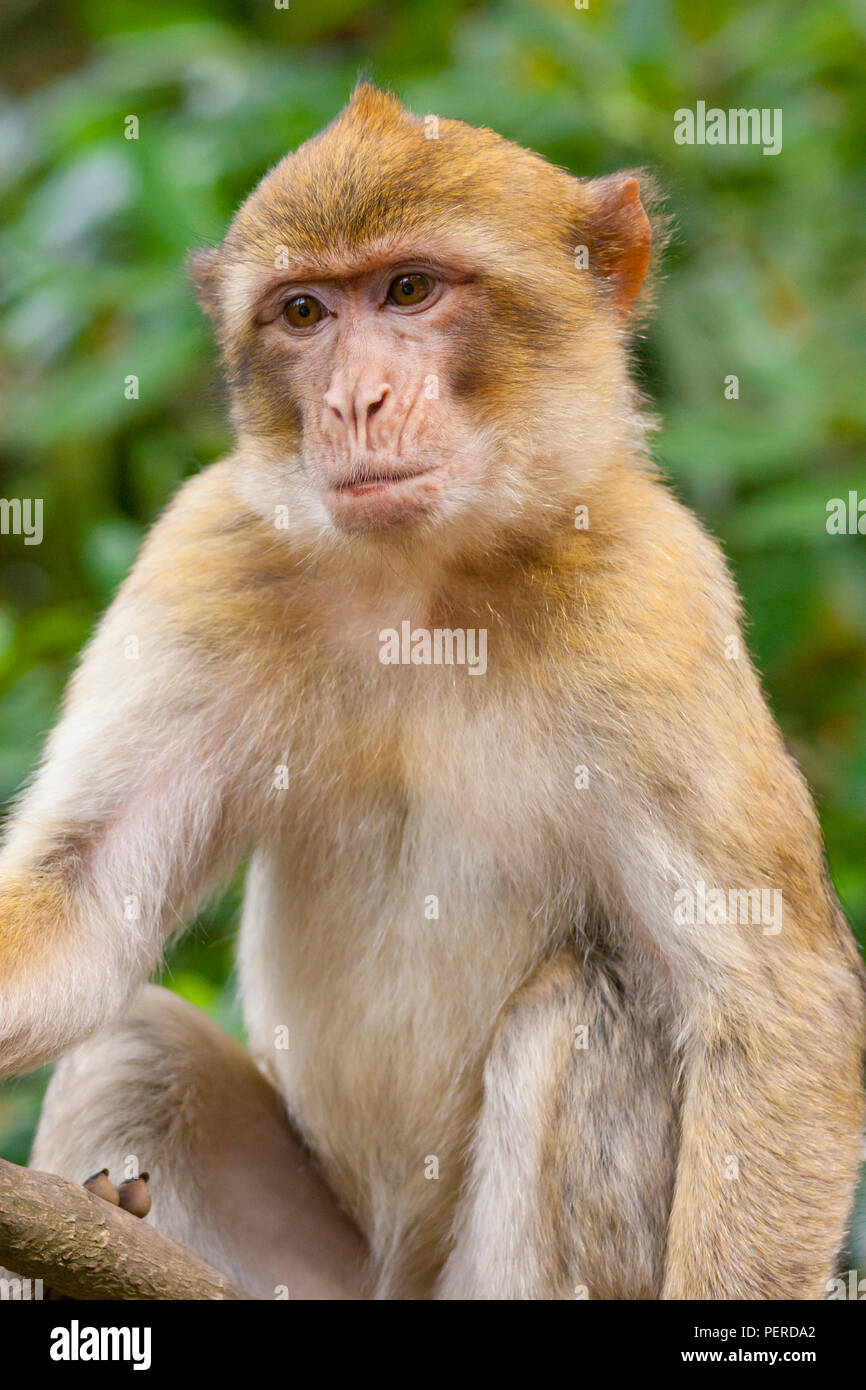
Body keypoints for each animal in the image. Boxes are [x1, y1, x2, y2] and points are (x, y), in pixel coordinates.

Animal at [1, 84, 866, 1301]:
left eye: (409, 290)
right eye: (304, 312)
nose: (355, 403)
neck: (422, 581)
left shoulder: (653, 594)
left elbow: (776, 1010)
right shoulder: (204, 553)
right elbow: (79, 907)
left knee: (581, 1007)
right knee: (136, 1042)